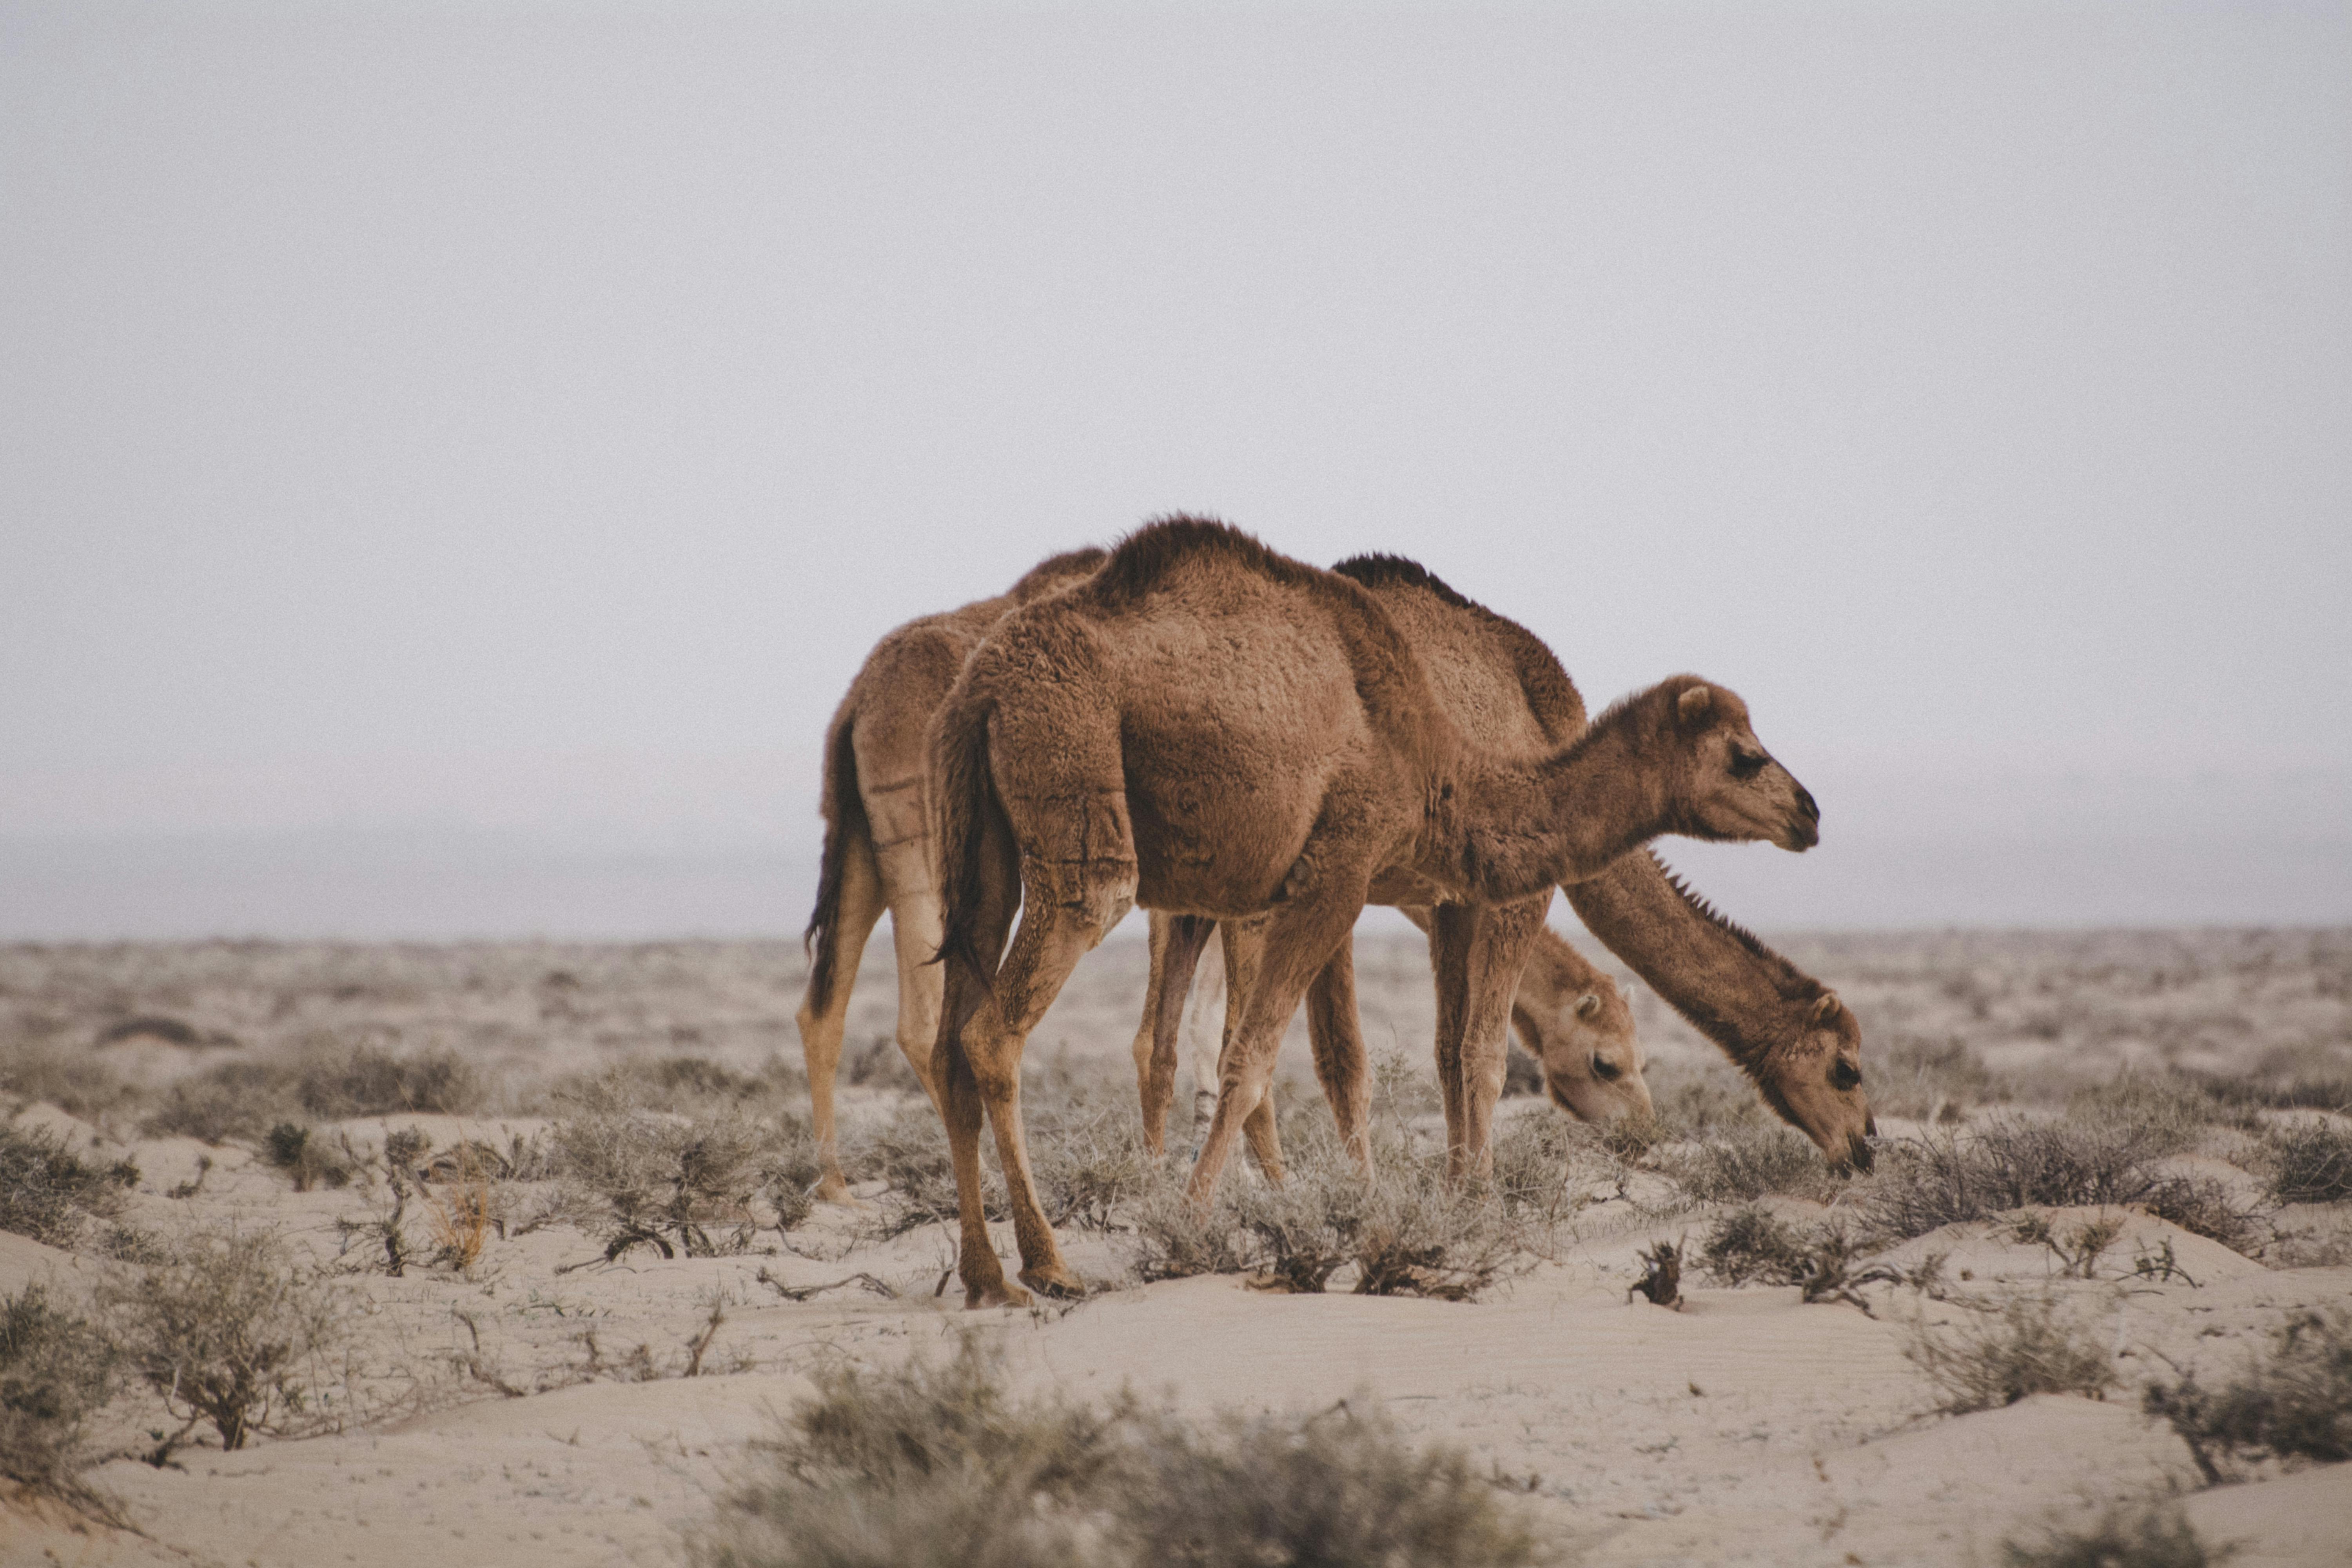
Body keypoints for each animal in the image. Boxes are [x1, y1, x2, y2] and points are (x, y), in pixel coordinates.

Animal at [929, 517, 1826, 1306]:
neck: (1437, 759)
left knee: (947, 1043)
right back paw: (1049, 1265)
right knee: (998, 1029)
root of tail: (982, 682)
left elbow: (1341, 1055)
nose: (1809, 813)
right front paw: (1190, 1228)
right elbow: (1258, 1060)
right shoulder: (1339, 871)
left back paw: (986, 1277)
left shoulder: (1357, 887)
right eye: (1744, 757)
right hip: (1074, 774)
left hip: (980, 842)